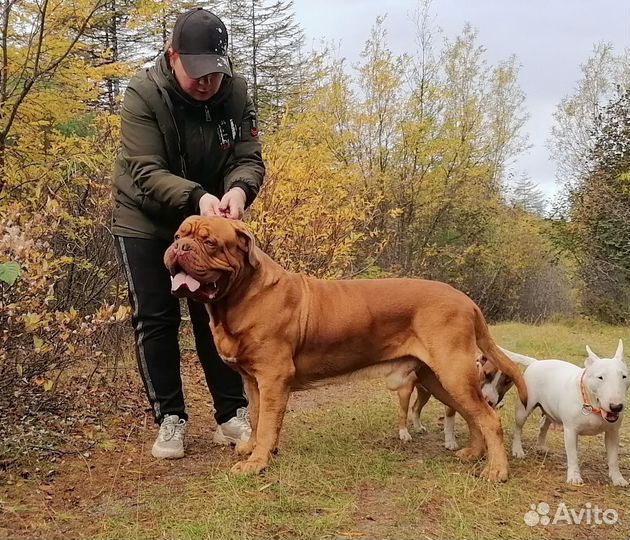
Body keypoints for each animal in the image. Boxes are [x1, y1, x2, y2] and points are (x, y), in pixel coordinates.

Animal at [165, 215, 532, 480]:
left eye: (209, 242)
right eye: (178, 235)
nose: (180, 247)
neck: (241, 295)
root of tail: (469, 302)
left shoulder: (272, 376)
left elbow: (268, 422)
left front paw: (257, 462)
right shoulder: (253, 380)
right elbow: (257, 418)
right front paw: (256, 449)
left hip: (452, 371)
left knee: (488, 418)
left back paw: (497, 471)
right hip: (438, 378)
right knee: (473, 414)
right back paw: (472, 454)